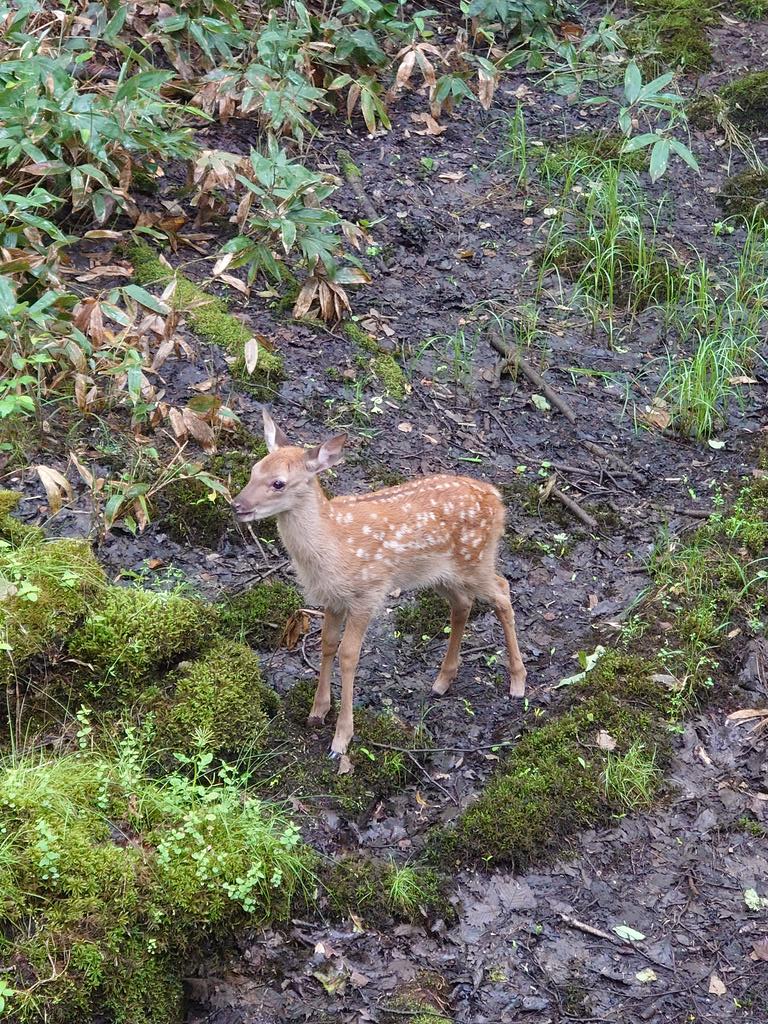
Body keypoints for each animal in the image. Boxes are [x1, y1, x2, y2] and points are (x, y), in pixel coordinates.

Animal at [231, 409, 527, 758]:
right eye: (254, 470)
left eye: (278, 483)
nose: (237, 505)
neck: (333, 546)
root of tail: (497, 497)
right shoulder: (332, 599)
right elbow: (327, 644)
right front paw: (317, 712)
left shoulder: (367, 593)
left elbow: (348, 656)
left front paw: (341, 739)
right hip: (439, 572)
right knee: (463, 604)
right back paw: (442, 681)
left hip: (476, 559)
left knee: (503, 591)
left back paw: (518, 683)